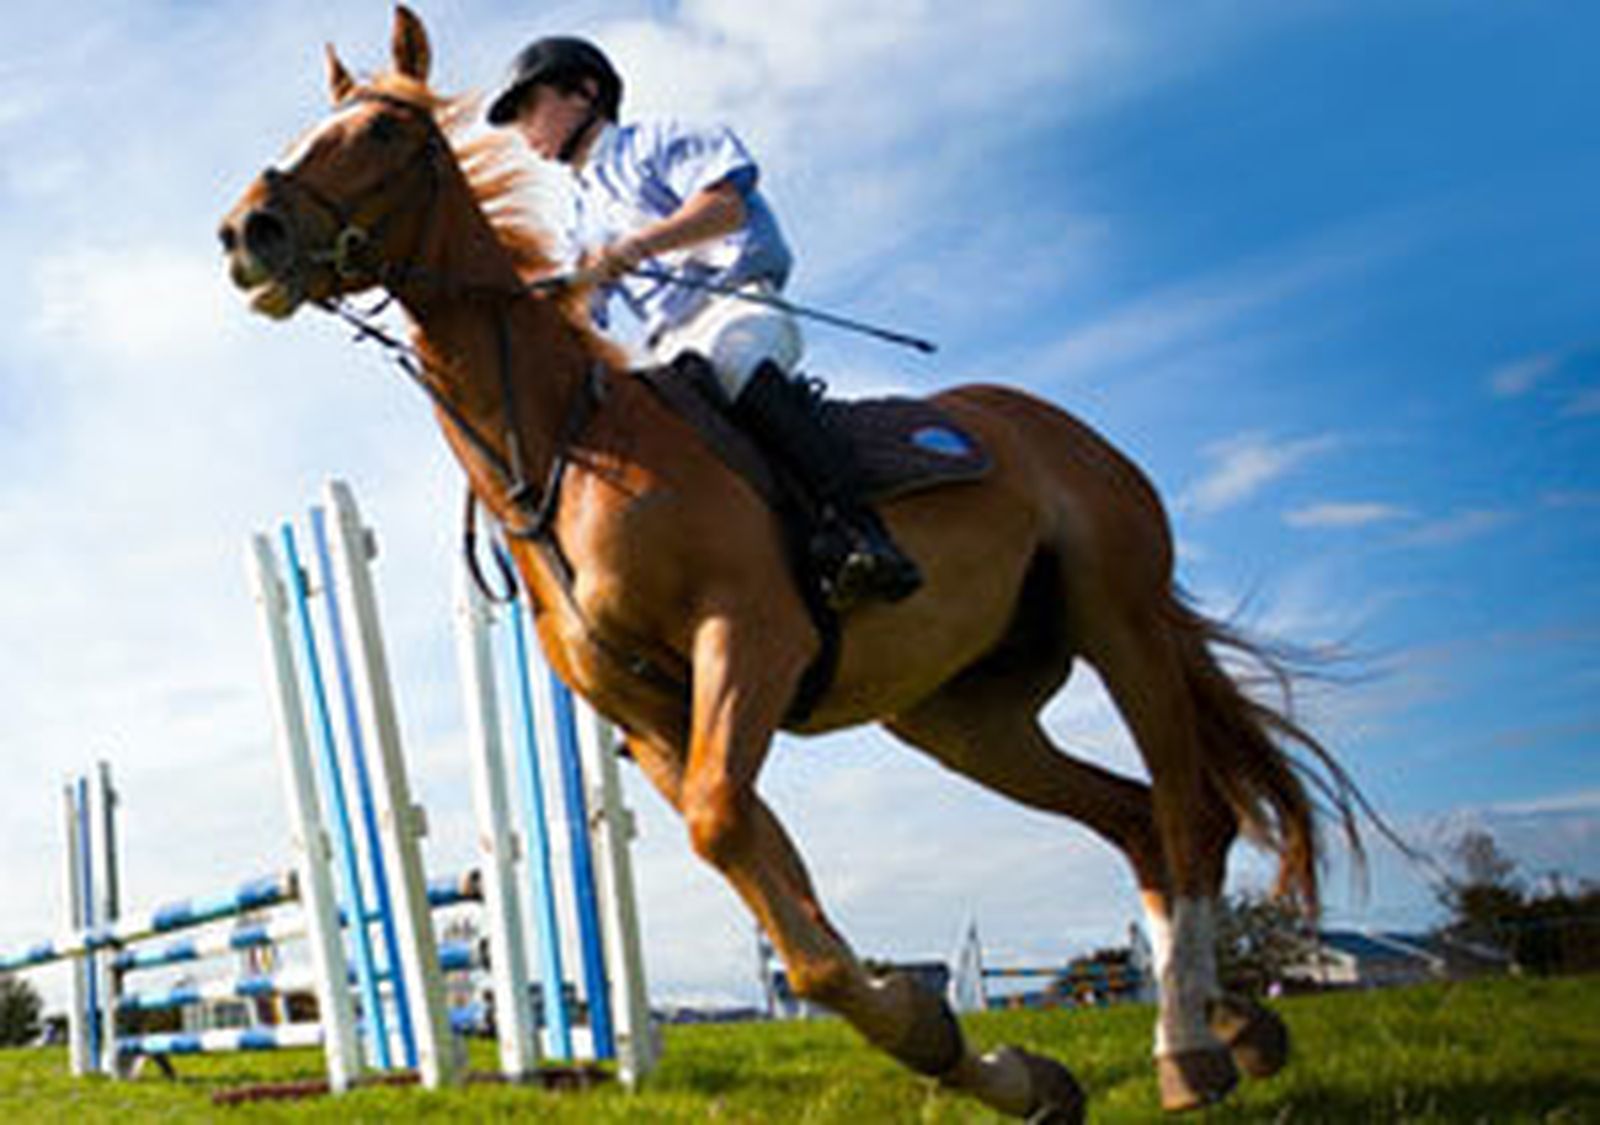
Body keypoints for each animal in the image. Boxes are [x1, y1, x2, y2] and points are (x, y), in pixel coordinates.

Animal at [219, 8, 1364, 1119]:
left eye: (382, 131)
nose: (245, 232)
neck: (569, 452)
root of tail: (1063, 431)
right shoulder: (656, 720)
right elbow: (778, 899)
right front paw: (992, 1064)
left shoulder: (750, 640)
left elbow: (738, 845)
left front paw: (942, 1037)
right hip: (966, 718)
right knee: (1131, 821)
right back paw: (1213, 1030)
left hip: (1117, 625)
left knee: (1188, 812)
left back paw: (1199, 1042)